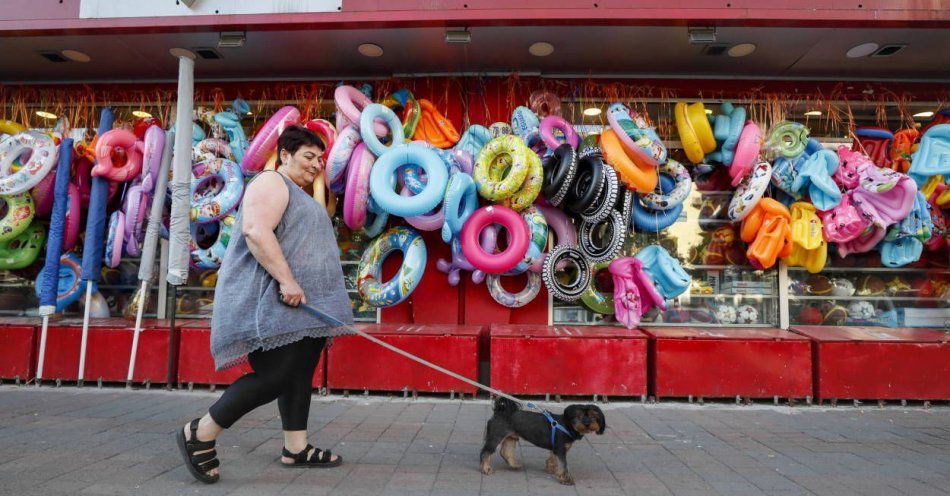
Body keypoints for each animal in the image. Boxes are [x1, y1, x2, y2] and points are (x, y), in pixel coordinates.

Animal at [480, 398, 608, 486]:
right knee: (485, 453)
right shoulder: (560, 449)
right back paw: (486, 469)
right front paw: (565, 478)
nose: (587, 424)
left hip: (511, 437)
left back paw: (515, 465)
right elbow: (564, 465)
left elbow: (553, 460)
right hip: (496, 436)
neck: (567, 425)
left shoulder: (556, 449)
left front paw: (552, 470)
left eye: (593, 416)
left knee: (505, 452)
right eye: (579, 416)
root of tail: (499, 412)